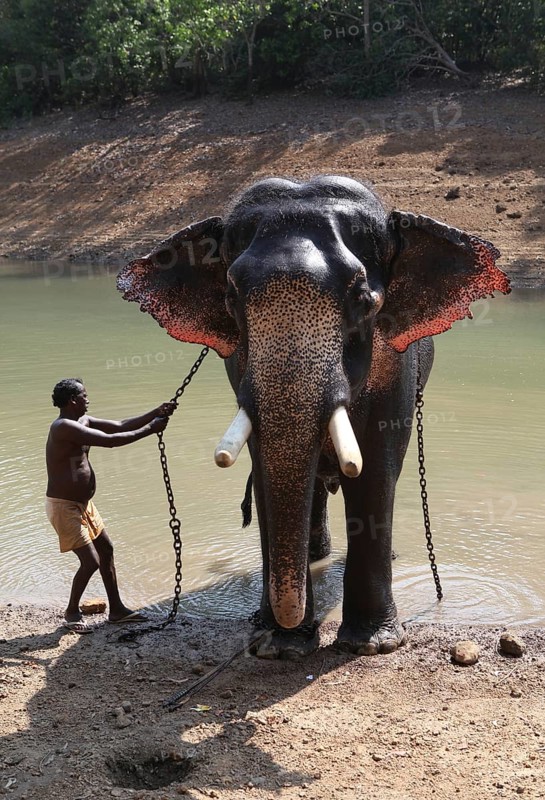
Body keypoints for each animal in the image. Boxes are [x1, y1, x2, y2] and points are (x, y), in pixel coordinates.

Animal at [117, 175, 510, 659]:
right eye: (230, 298)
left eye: (363, 300)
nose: (277, 629)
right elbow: (265, 471)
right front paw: (281, 646)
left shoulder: (397, 369)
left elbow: (375, 472)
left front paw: (371, 646)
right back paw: (316, 555)